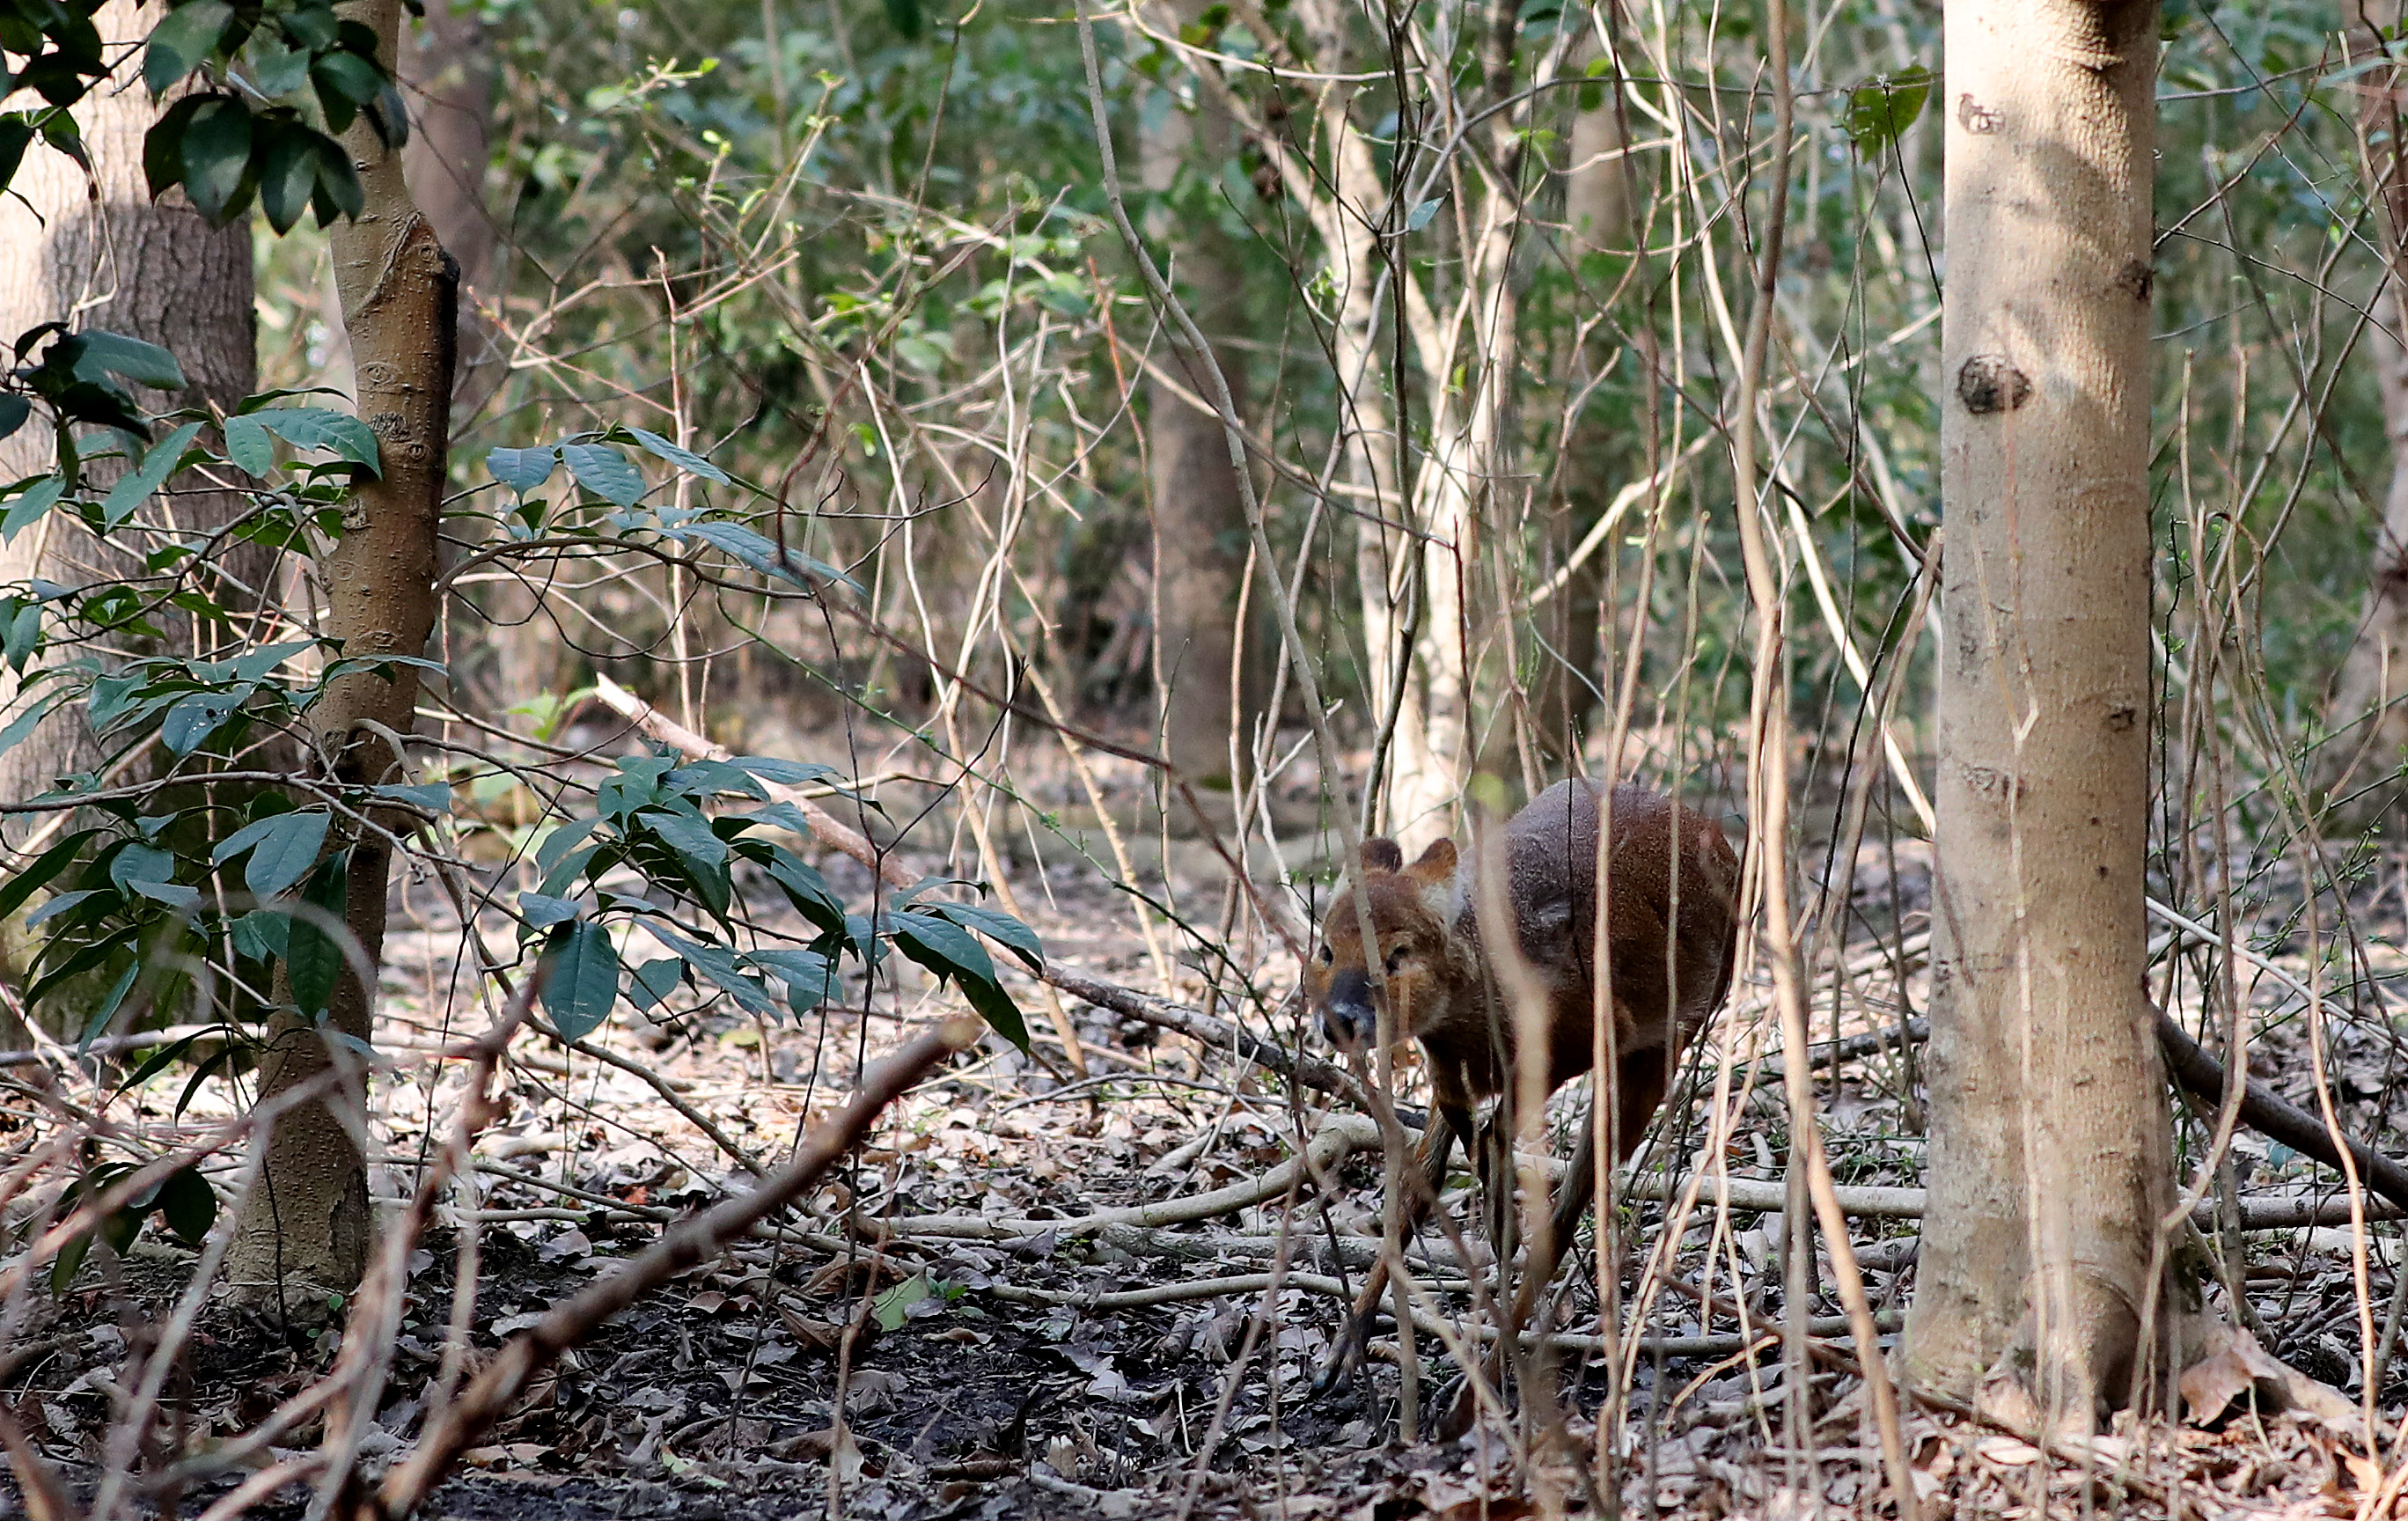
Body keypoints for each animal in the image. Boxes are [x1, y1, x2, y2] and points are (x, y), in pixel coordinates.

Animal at [1310, 779, 1743, 1405]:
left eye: (1398, 954)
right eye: (1326, 949)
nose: (1339, 1019)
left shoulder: (1586, 1035)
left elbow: (1506, 1155)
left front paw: (1501, 1220)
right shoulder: (1450, 1075)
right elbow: (1431, 1169)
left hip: (1660, 1047)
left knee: (1562, 1220)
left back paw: (1475, 1392)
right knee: (1427, 1181)